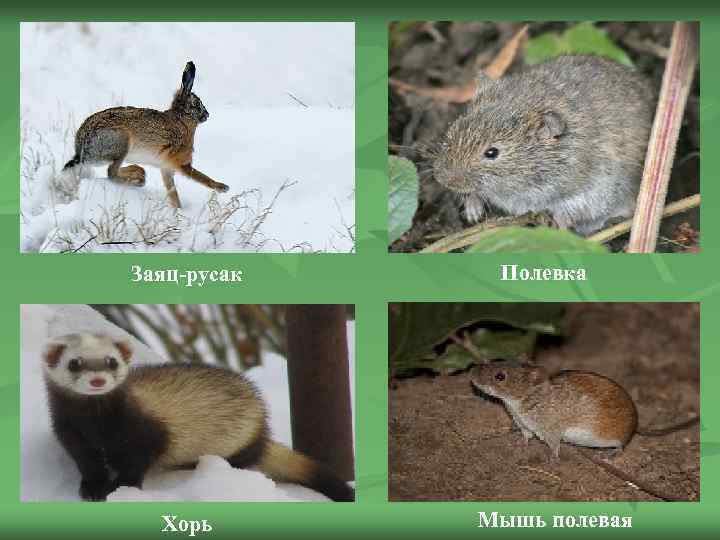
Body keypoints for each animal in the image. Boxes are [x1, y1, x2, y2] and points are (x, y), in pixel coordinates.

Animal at [63, 61, 228, 208]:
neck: (181, 119)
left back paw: (138, 173)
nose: (207, 115)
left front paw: (178, 210)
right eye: (197, 104)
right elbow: (201, 177)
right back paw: (138, 177)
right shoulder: (182, 162)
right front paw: (223, 188)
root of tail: (81, 150)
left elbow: (172, 191)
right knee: (111, 173)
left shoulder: (166, 168)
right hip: (121, 143)